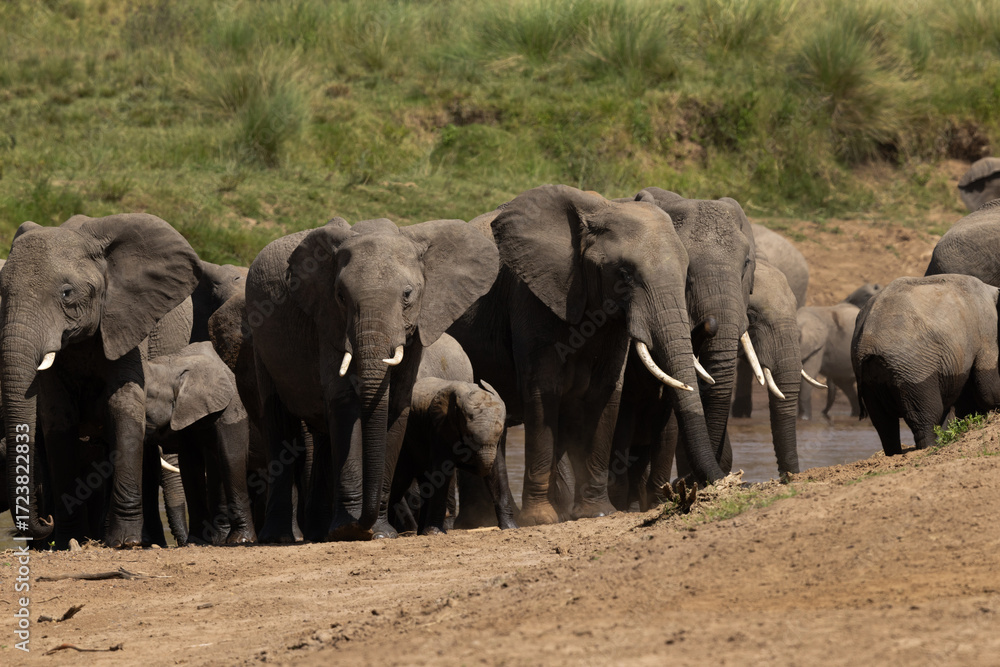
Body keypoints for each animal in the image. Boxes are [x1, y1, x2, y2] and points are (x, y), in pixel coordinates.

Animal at [1, 213, 200, 548]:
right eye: (2, 293)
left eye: (67, 293)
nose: (46, 521)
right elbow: (58, 418)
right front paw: (69, 540)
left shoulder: (126, 321)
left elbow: (123, 405)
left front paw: (125, 542)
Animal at [144, 341, 256, 545]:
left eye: (148, 395)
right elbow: (189, 465)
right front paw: (195, 541)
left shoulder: (230, 410)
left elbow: (231, 460)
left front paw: (240, 541)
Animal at [246, 215, 499, 542]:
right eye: (341, 296)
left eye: (407, 295)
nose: (361, 524)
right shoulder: (328, 321)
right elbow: (344, 402)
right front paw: (349, 530)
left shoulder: (417, 327)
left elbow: (396, 402)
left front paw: (378, 532)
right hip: (259, 340)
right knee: (278, 423)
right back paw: (280, 538)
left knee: (324, 435)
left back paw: (318, 533)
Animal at [450, 185, 722, 527]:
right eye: (624, 274)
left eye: (686, 273)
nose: (722, 481)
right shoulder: (530, 299)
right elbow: (543, 393)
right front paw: (541, 519)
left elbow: (605, 392)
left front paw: (597, 512)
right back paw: (482, 521)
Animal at [853, 274, 1000, 453]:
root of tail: (868, 344)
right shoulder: (987, 328)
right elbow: (988, 388)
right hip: (914, 370)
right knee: (925, 415)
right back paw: (929, 448)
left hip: (868, 377)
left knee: (883, 422)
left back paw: (894, 453)